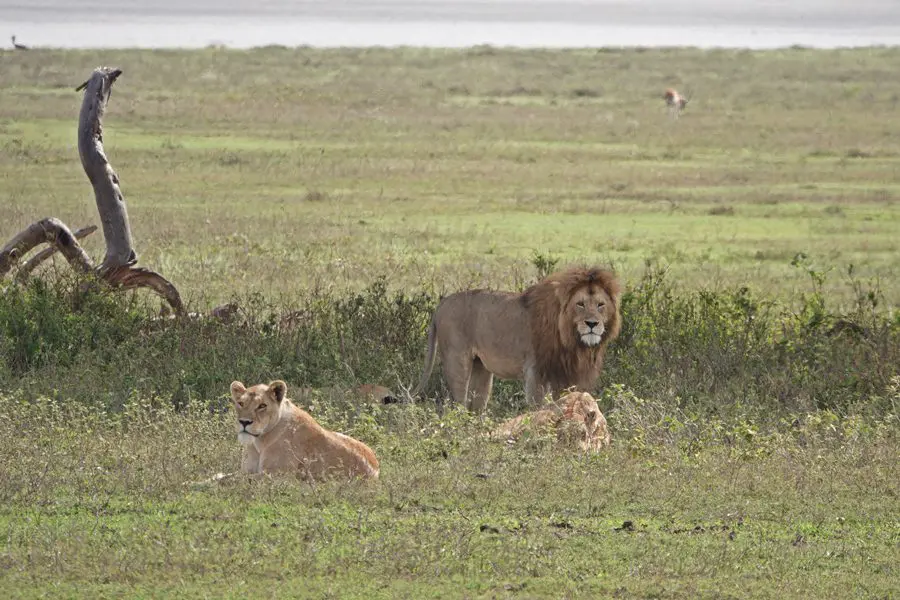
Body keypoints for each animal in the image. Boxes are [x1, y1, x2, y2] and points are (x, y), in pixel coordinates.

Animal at [232, 380, 380, 482]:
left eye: (262, 406)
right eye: (241, 403)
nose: (244, 422)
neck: (258, 442)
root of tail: (376, 467)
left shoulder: (276, 475)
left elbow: (232, 480)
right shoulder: (248, 470)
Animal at [414, 268, 620, 412]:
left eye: (600, 305)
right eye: (580, 304)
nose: (592, 323)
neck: (571, 337)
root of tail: (441, 304)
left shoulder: (564, 373)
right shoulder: (536, 371)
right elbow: (538, 407)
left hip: (481, 368)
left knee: (476, 405)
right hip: (456, 361)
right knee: (457, 405)